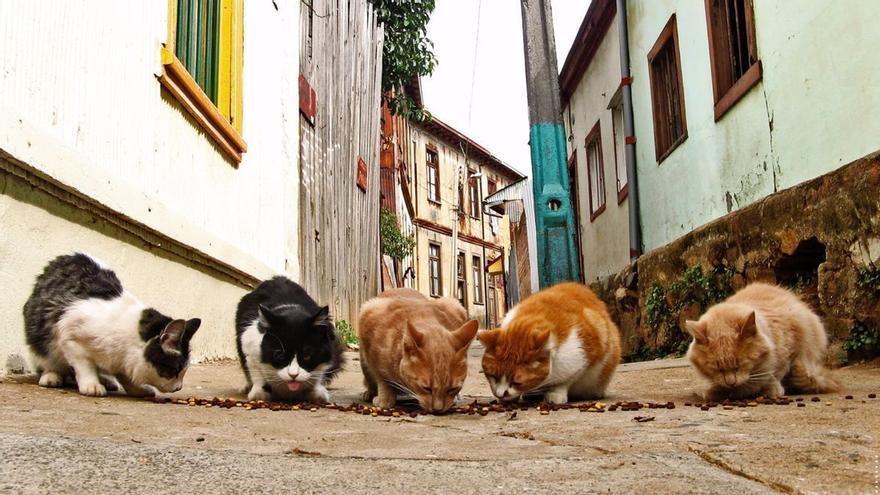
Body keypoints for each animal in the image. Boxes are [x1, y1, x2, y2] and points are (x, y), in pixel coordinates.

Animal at [22, 256, 203, 400]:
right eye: (176, 370)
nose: (179, 387)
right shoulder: (70, 336)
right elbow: (84, 365)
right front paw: (92, 385)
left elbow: (124, 376)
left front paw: (137, 389)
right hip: (40, 335)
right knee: (47, 359)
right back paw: (52, 376)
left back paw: (107, 380)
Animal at [478, 284, 624, 404]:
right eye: (493, 375)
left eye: (517, 382)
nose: (500, 394)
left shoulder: (583, 358)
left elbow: (566, 380)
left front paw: (556, 393)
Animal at [684, 282, 836, 404]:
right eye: (717, 368)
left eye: (740, 364)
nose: (731, 382)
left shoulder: (791, 344)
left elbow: (778, 371)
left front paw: (771, 387)